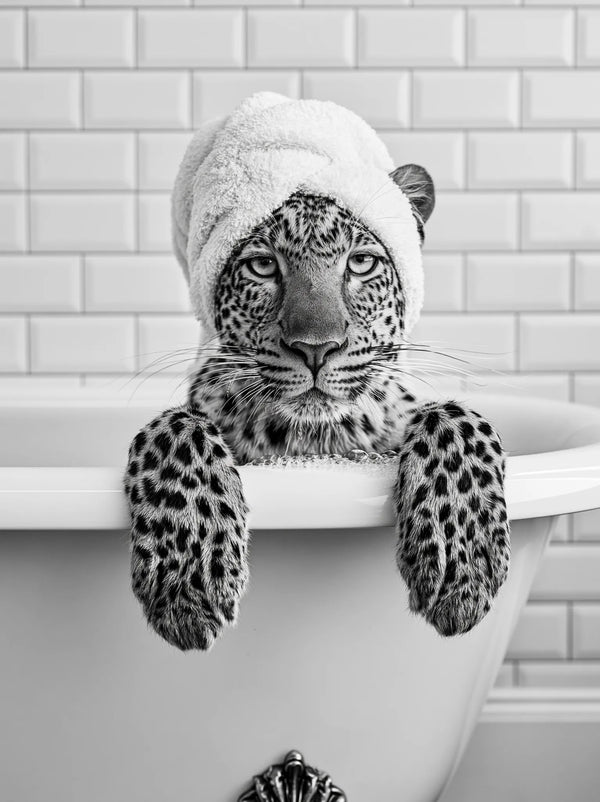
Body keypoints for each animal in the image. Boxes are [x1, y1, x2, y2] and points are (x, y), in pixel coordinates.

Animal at [124, 164, 510, 652]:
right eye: (263, 265)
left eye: (361, 263)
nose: (315, 348)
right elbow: (177, 425)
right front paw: (188, 580)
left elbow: (452, 415)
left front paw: (463, 565)